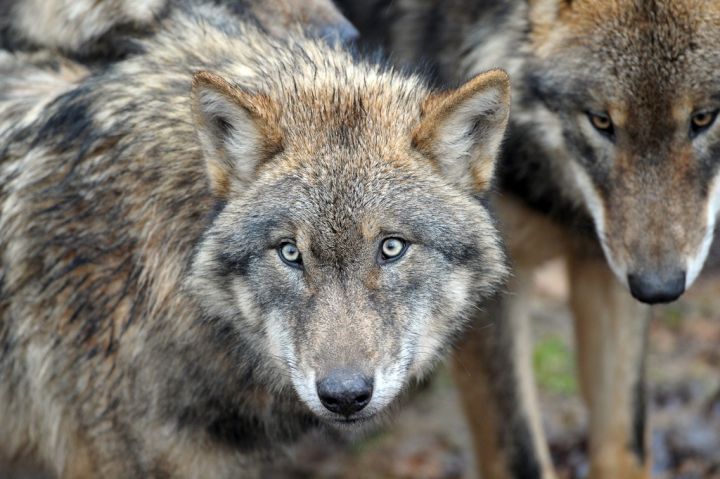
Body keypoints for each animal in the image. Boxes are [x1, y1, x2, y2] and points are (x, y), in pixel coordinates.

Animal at [340, 0, 720, 478]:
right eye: (601, 121)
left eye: (704, 117)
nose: (659, 288)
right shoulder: (484, 290)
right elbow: (519, 456)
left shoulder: (606, 264)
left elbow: (622, 445)